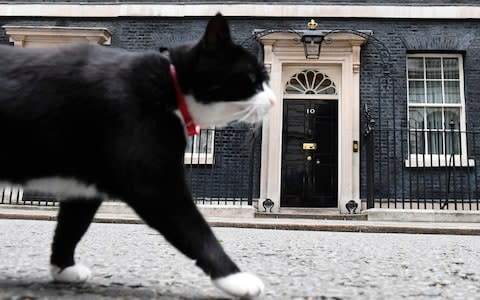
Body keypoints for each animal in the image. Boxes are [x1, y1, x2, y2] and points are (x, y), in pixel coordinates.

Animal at [0, 13, 276, 298]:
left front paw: (63, 268)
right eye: (252, 78)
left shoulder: (85, 186)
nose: (274, 100)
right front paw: (236, 277)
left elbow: (72, 226)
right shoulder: (153, 180)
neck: (171, 86)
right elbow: (196, 230)